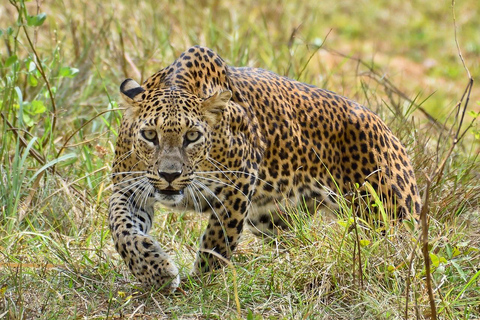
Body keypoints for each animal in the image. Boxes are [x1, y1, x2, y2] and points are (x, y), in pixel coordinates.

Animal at [109, 45, 420, 292]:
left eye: (192, 136)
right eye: (150, 135)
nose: (170, 175)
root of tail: (387, 129)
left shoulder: (237, 187)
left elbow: (217, 241)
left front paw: (199, 283)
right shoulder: (128, 188)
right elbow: (122, 229)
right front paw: (156, 272)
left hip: (390, 212)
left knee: (405, 248)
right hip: (272, 218)